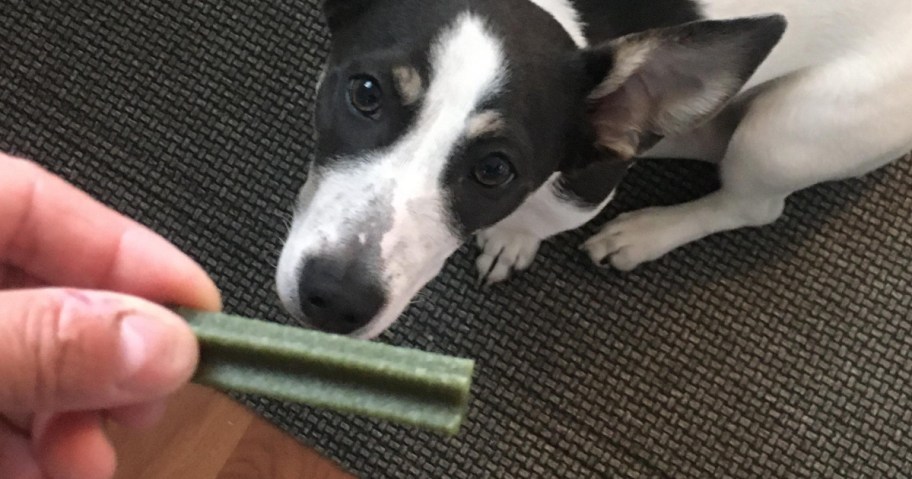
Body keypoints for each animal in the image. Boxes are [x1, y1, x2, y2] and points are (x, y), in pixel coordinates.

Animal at [276, 0, 912, 340]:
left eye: (495, 171)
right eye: (365, 92)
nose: (334, 300)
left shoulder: (582, 189)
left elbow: (536, 218)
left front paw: (511, 239)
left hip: (788, 132)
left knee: (753, 205)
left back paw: (645, 232)